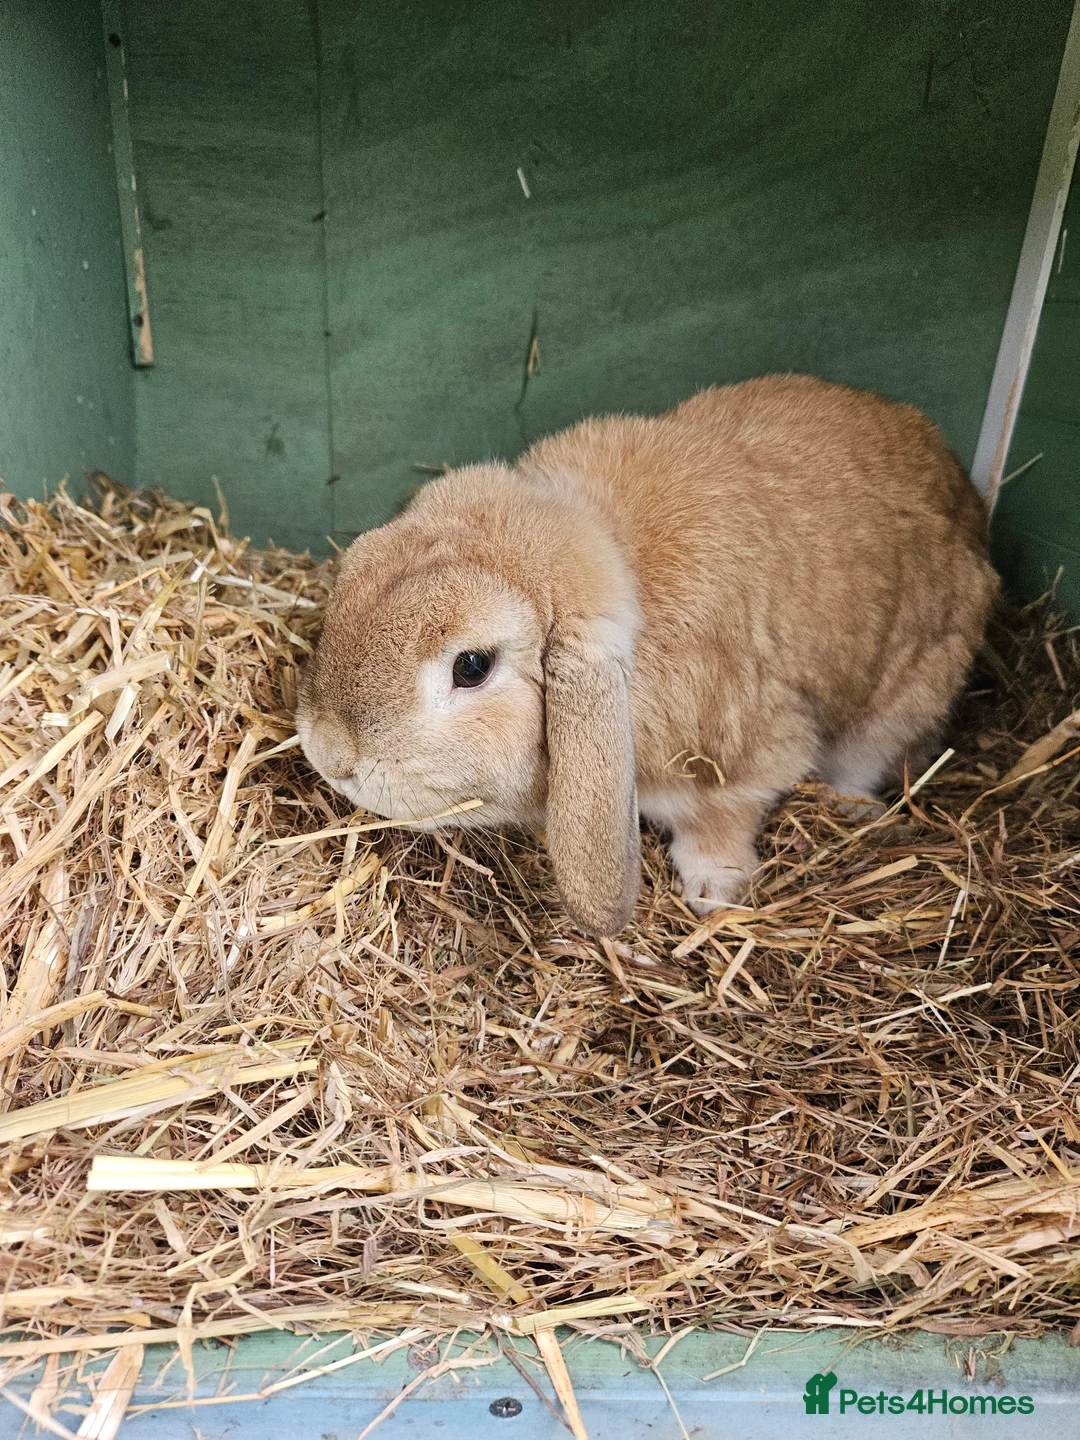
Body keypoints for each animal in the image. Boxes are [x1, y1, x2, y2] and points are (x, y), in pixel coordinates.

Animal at [297, 375, 999, 937]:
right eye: (354, 569)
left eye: (471, 666)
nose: (332, 759)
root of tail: (970, 503)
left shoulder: (755, 752)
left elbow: (727, 812)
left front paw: (714, 890)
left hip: (902, 701)